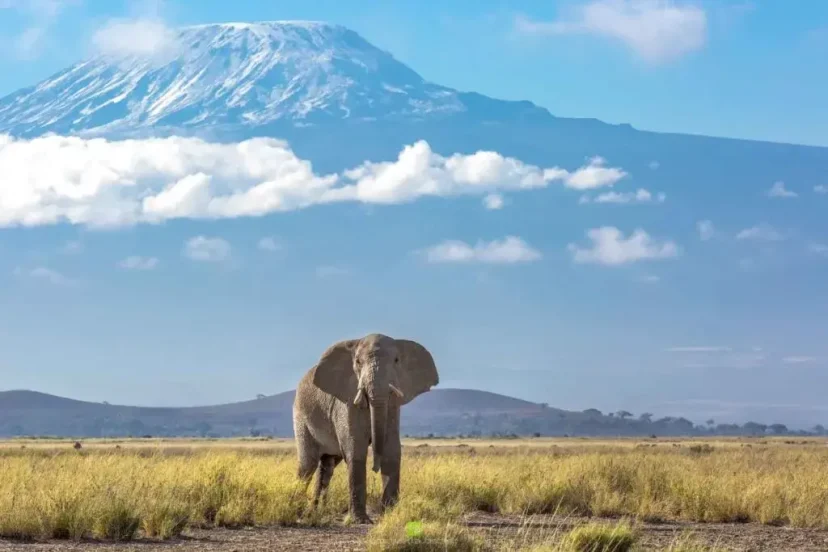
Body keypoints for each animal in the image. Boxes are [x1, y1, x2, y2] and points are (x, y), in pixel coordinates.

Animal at [292, 332, 440, 520]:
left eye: (396, 360)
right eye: (357, 362)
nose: (374, 468)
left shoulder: (393, 404)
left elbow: (391, 450)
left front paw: (389, 514)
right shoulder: (346, 402)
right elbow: (355, 448)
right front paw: (360, 520)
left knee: (327, 465)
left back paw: (316, 512)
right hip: (300, 416)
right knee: (307, 465)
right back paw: (297, 511)